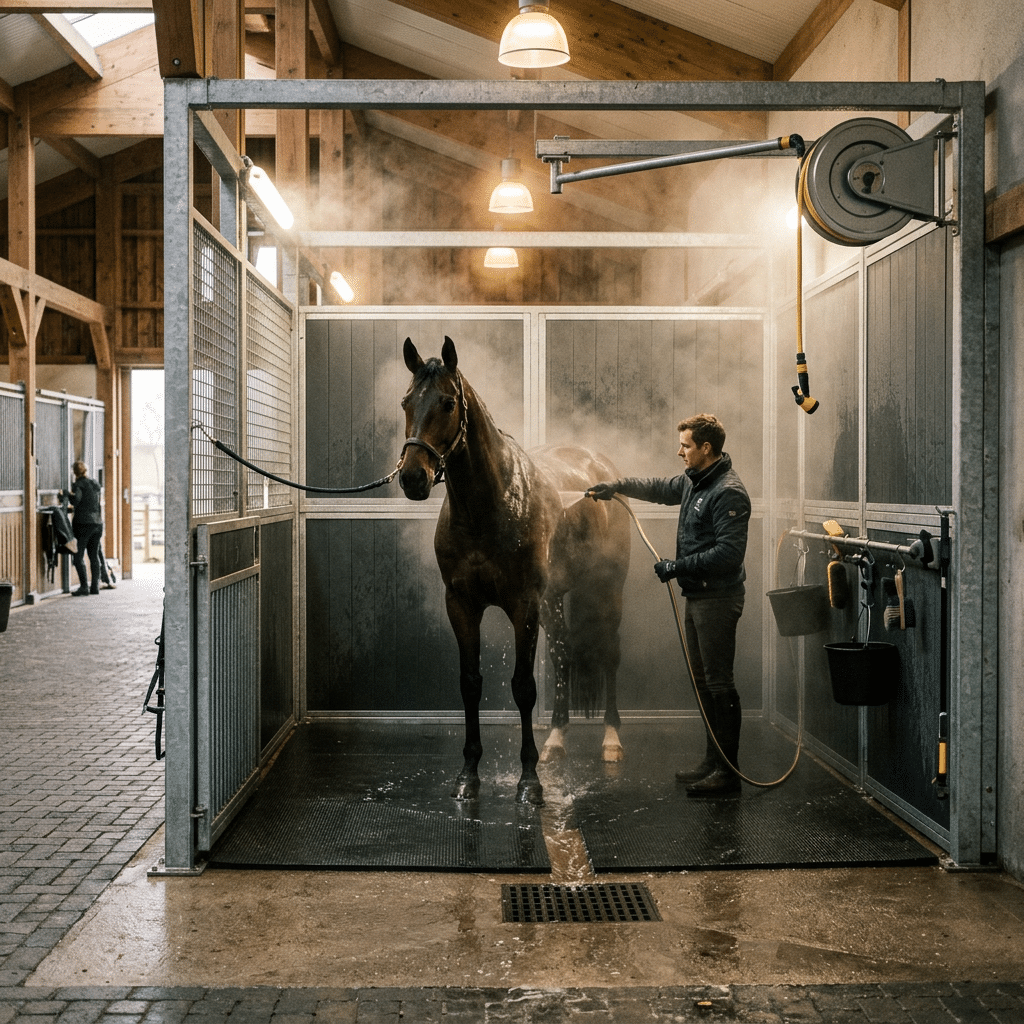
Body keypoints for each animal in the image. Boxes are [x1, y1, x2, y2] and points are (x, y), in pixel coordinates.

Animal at [398, 336, 631, 805]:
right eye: (406, 402)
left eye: (448, 403)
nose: (413, 477)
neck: (489, 506)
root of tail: (603, 472)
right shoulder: (462, 604)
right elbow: (470, 683)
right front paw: (468, 774)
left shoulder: (523, 605)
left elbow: (523, 687)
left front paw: (529, 781)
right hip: (555, 598)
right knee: (561, 654)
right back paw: (556, 740)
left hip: (608, 587)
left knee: (608, 653)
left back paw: (611, 739)